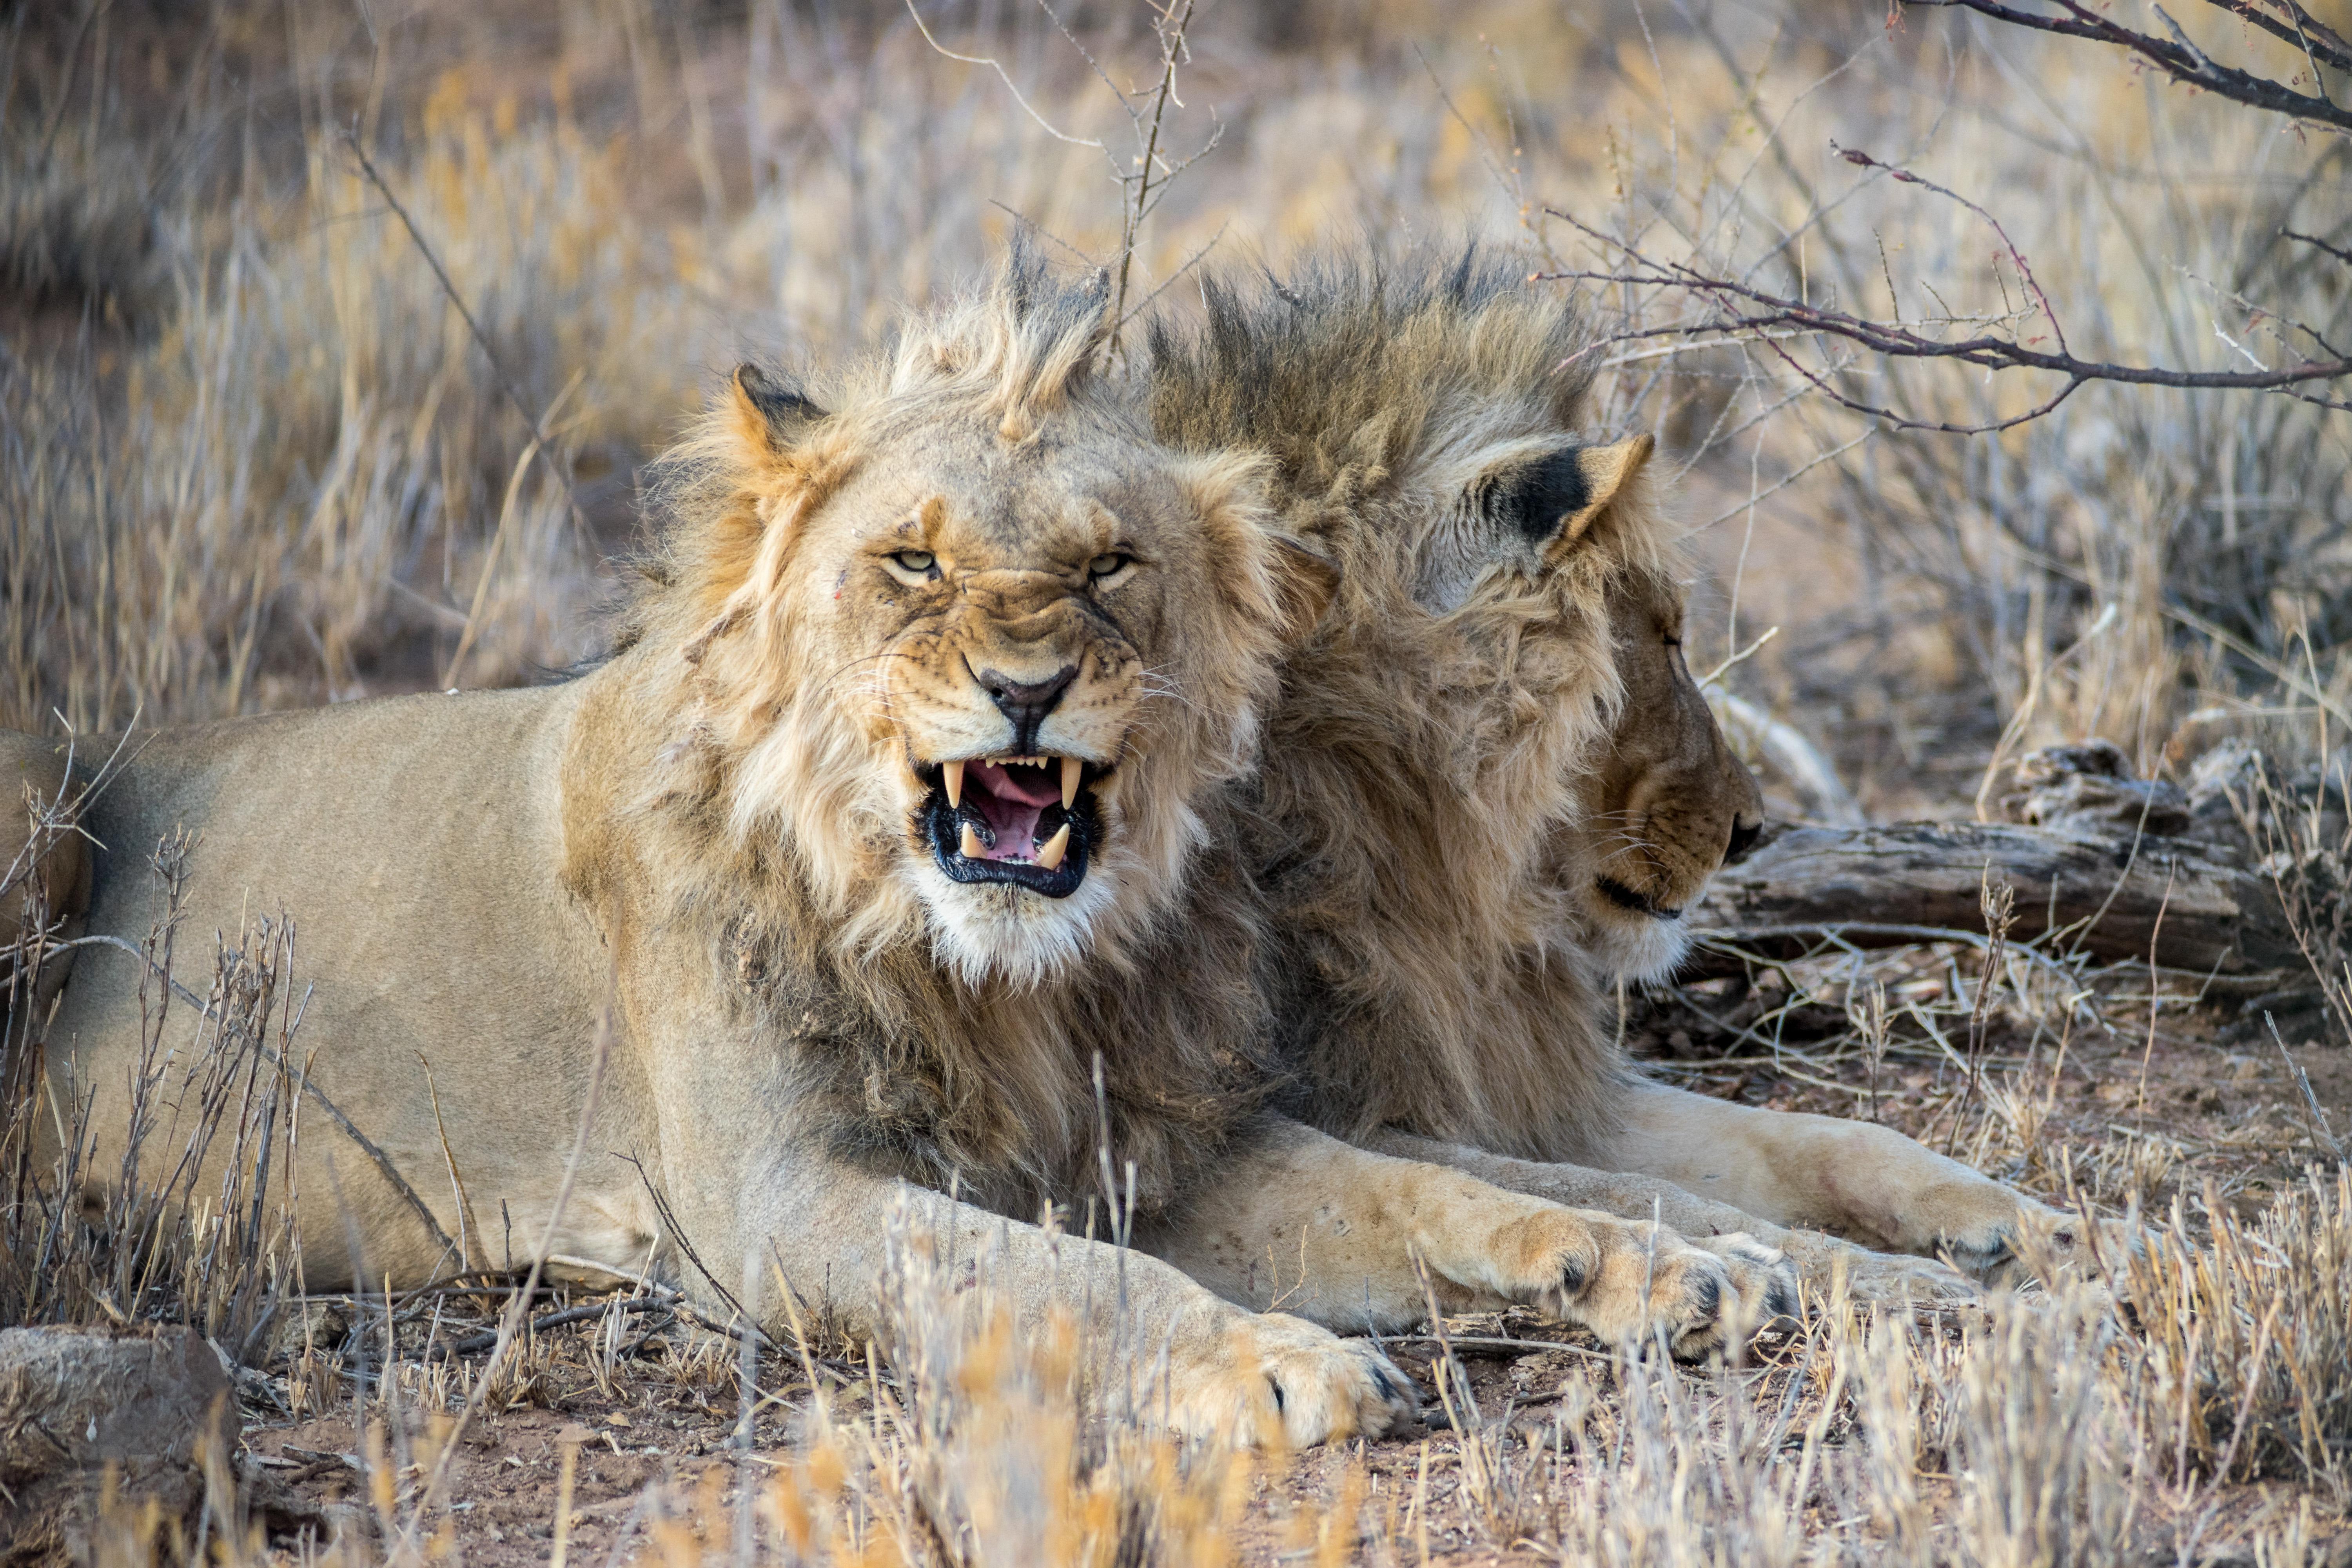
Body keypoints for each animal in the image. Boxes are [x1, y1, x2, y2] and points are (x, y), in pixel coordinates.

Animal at [4, 255, 1778, 1448]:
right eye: (914, 563)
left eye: (1112, 567)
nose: (1028, 686)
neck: (995, 978)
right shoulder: (778, 1203)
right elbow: (1063, 1286)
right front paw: (1278, 1363)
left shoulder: (1151, 1151)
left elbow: (1427, 1194)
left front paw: (1668, 1268)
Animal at [1148, 251, 2126, 1298]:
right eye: (1664, 638)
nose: (1754, 828)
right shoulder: (1273, 1111)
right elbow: (1614, 1197)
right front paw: (1869, 1284)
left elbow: (1825, 1135)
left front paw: (2063, 1234)